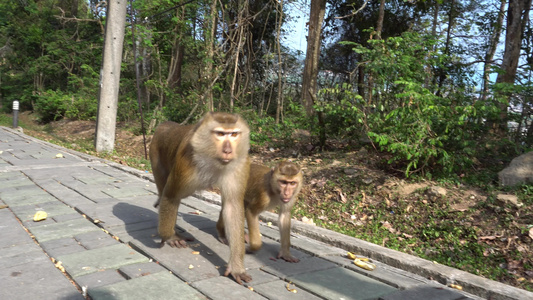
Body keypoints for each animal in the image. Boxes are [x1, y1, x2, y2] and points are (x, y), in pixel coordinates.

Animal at [149, 112, 250, 284]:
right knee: (166, 193)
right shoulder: (186, 162)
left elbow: (232, 206)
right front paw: (170, 237)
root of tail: (165, 125)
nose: (228, 150)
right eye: (220, 134)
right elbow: (170, 196)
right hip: (155, 154)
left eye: (234, 134)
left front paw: (236, 266)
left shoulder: (239, 165)